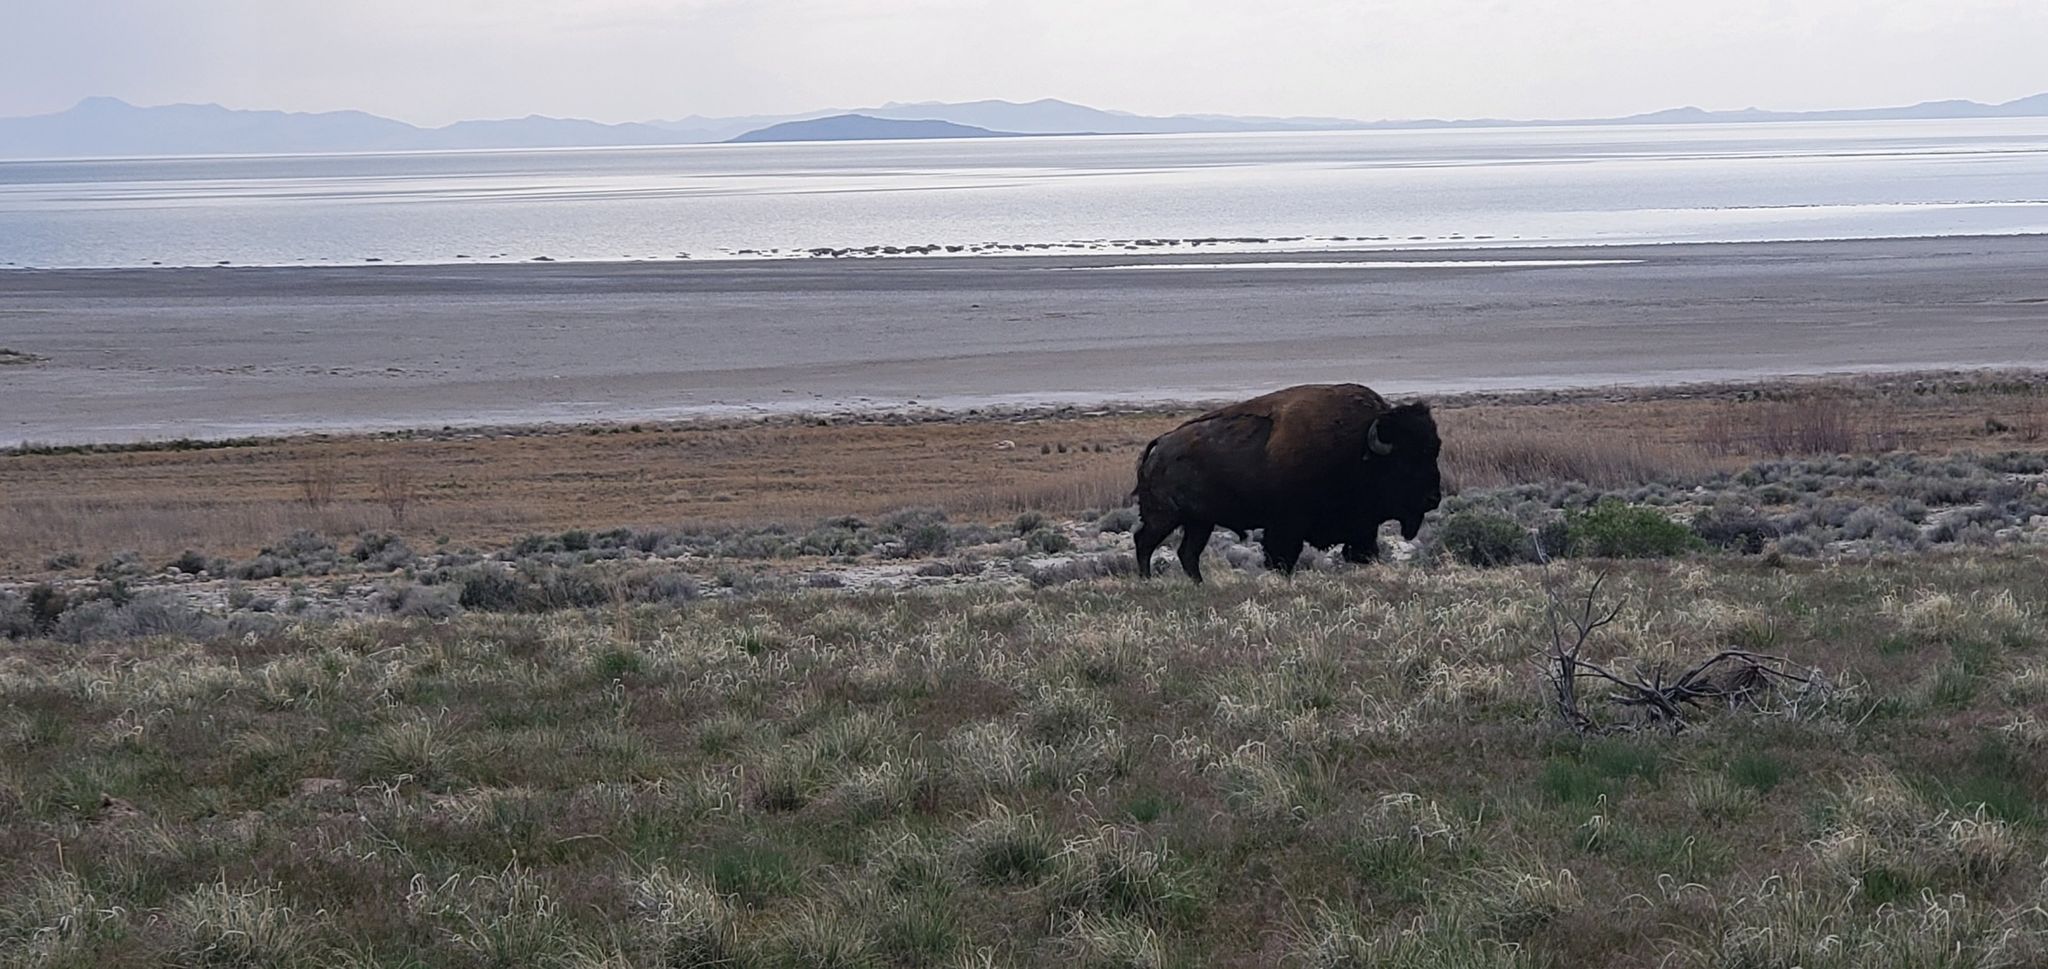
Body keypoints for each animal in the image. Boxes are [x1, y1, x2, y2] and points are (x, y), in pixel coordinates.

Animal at [1132, 383, 1443, 581]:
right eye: (1405, 460)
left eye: (1433, 451)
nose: (1433, 498)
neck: (1359, 449)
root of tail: (1159, 445)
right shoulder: (1285, 527)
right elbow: (1282, 558)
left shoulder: (1362, 529)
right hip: (1165, 517)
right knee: (1145, 542)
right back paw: (1147, 580)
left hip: (1200, 523)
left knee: (1188, 554)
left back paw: (1199, 584)